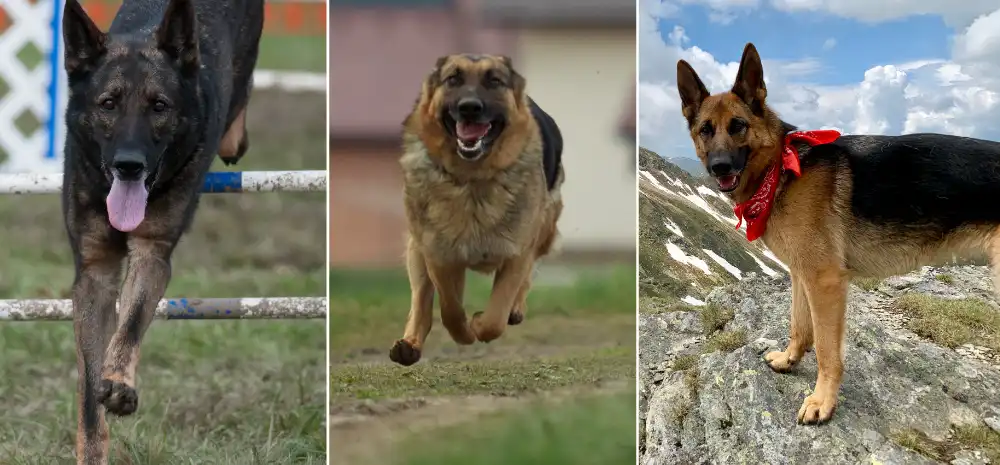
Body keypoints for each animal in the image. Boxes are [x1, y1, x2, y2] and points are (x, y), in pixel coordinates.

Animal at [58, 0, 262, 458]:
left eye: (159, 106)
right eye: (108, 104)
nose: (129, 165)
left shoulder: (152, 252)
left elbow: (131, 321)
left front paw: (119, 383)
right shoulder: (94, 273)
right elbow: (88, 391)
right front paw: (93, 449)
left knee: (238, 114)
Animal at [388, 54, 564, 364]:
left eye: (494, 80)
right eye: (453, 79)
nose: (469, 107)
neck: (471, 178)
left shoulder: (517, 251)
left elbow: (496, 315)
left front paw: (480, 324)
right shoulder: (439, 254)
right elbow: (449, 308)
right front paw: (465, 333)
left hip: (543, 229)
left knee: (528, 275)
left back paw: (515, 309)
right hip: (416, 249)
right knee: (421, 299)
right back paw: (409, 344)